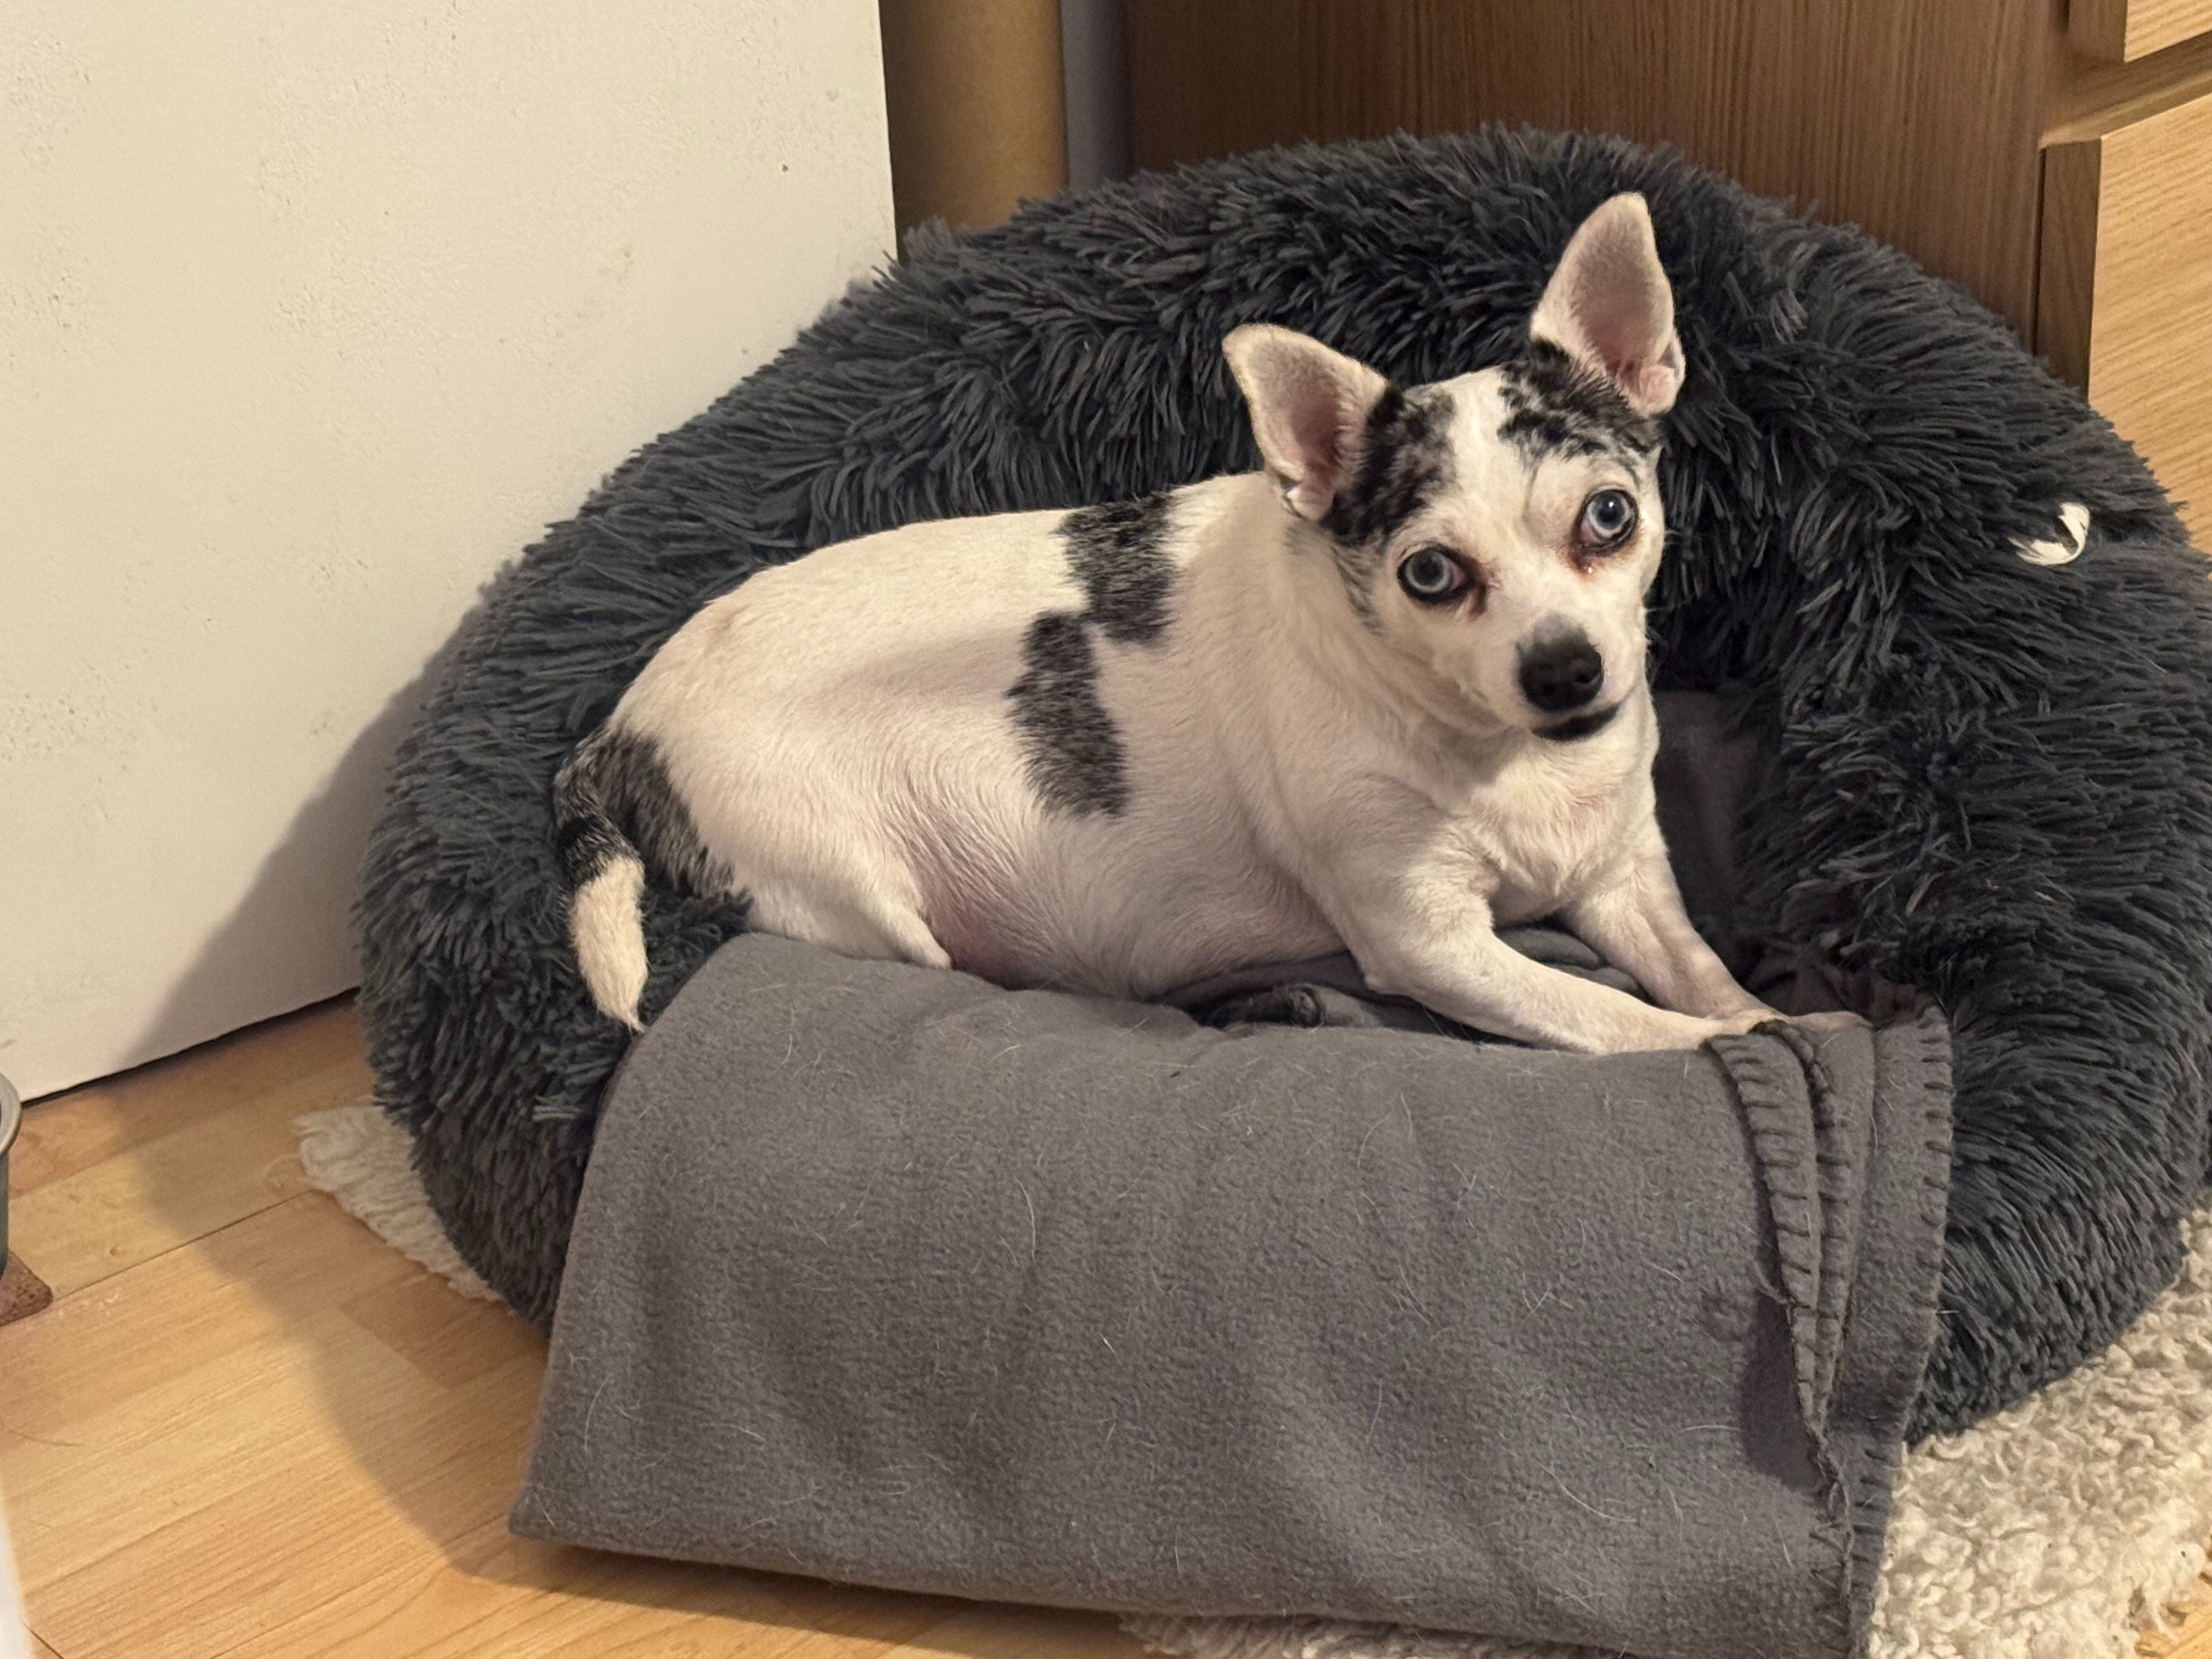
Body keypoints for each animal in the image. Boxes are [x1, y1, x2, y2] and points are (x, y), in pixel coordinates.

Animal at [554, 192, 1780, 1053]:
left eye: (1610, 516)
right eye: (1431, 574)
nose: (1564, 669)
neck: (1502, 756)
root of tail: (621, 724)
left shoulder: (1623, 879)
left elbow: (1696, 972)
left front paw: (1774, 1019)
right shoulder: (1434, 944)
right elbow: (1621, 1021)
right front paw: (1726, 1047)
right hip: (851, 892)